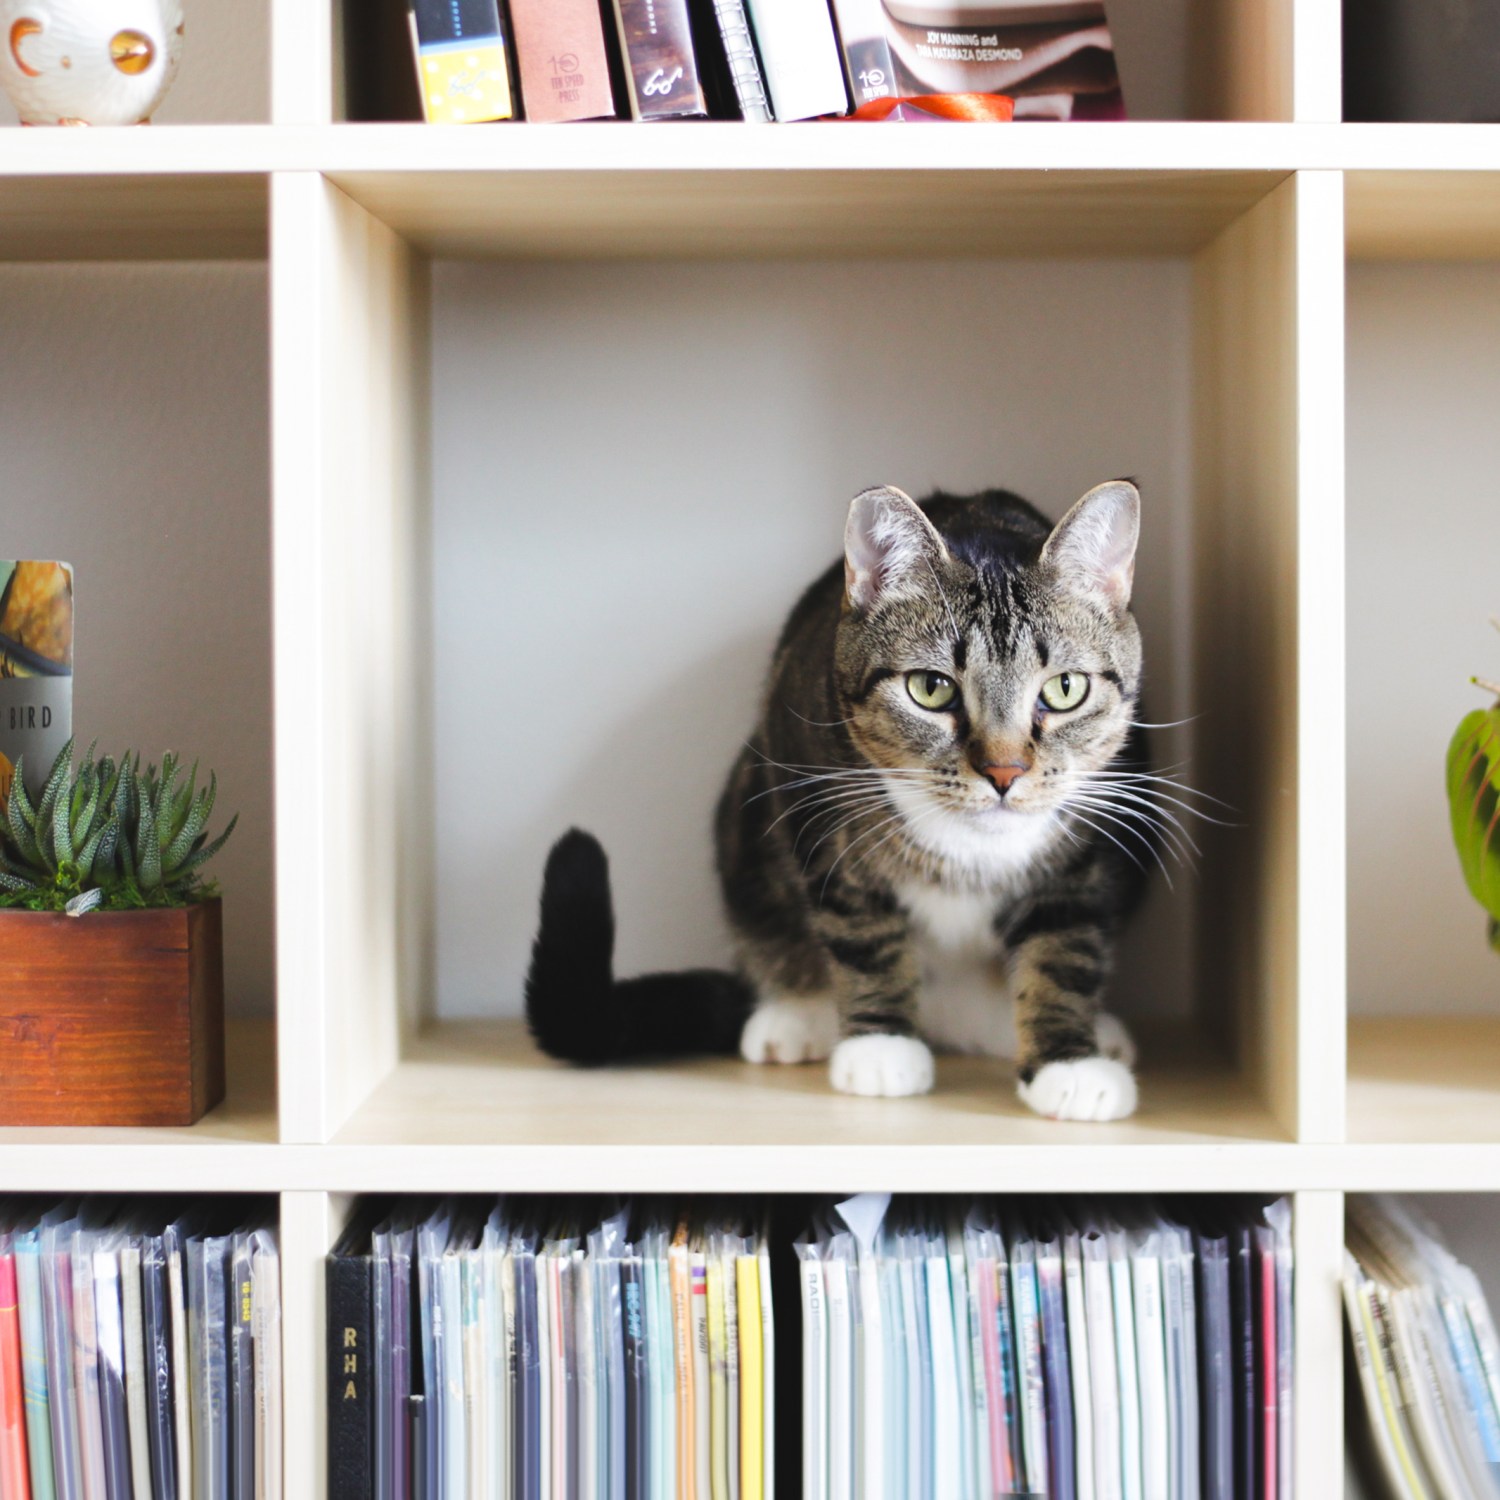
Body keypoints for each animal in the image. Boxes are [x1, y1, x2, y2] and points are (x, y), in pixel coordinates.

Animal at [528, 483, 1158, 1128]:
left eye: (1065, 688)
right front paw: (881, 1048)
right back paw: (798, 1013)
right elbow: (862, 930)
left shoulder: (1088, 850)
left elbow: (1064, 950)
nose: (1004, 772)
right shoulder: (814, 800)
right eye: (931, 689)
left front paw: (1069, 1064)